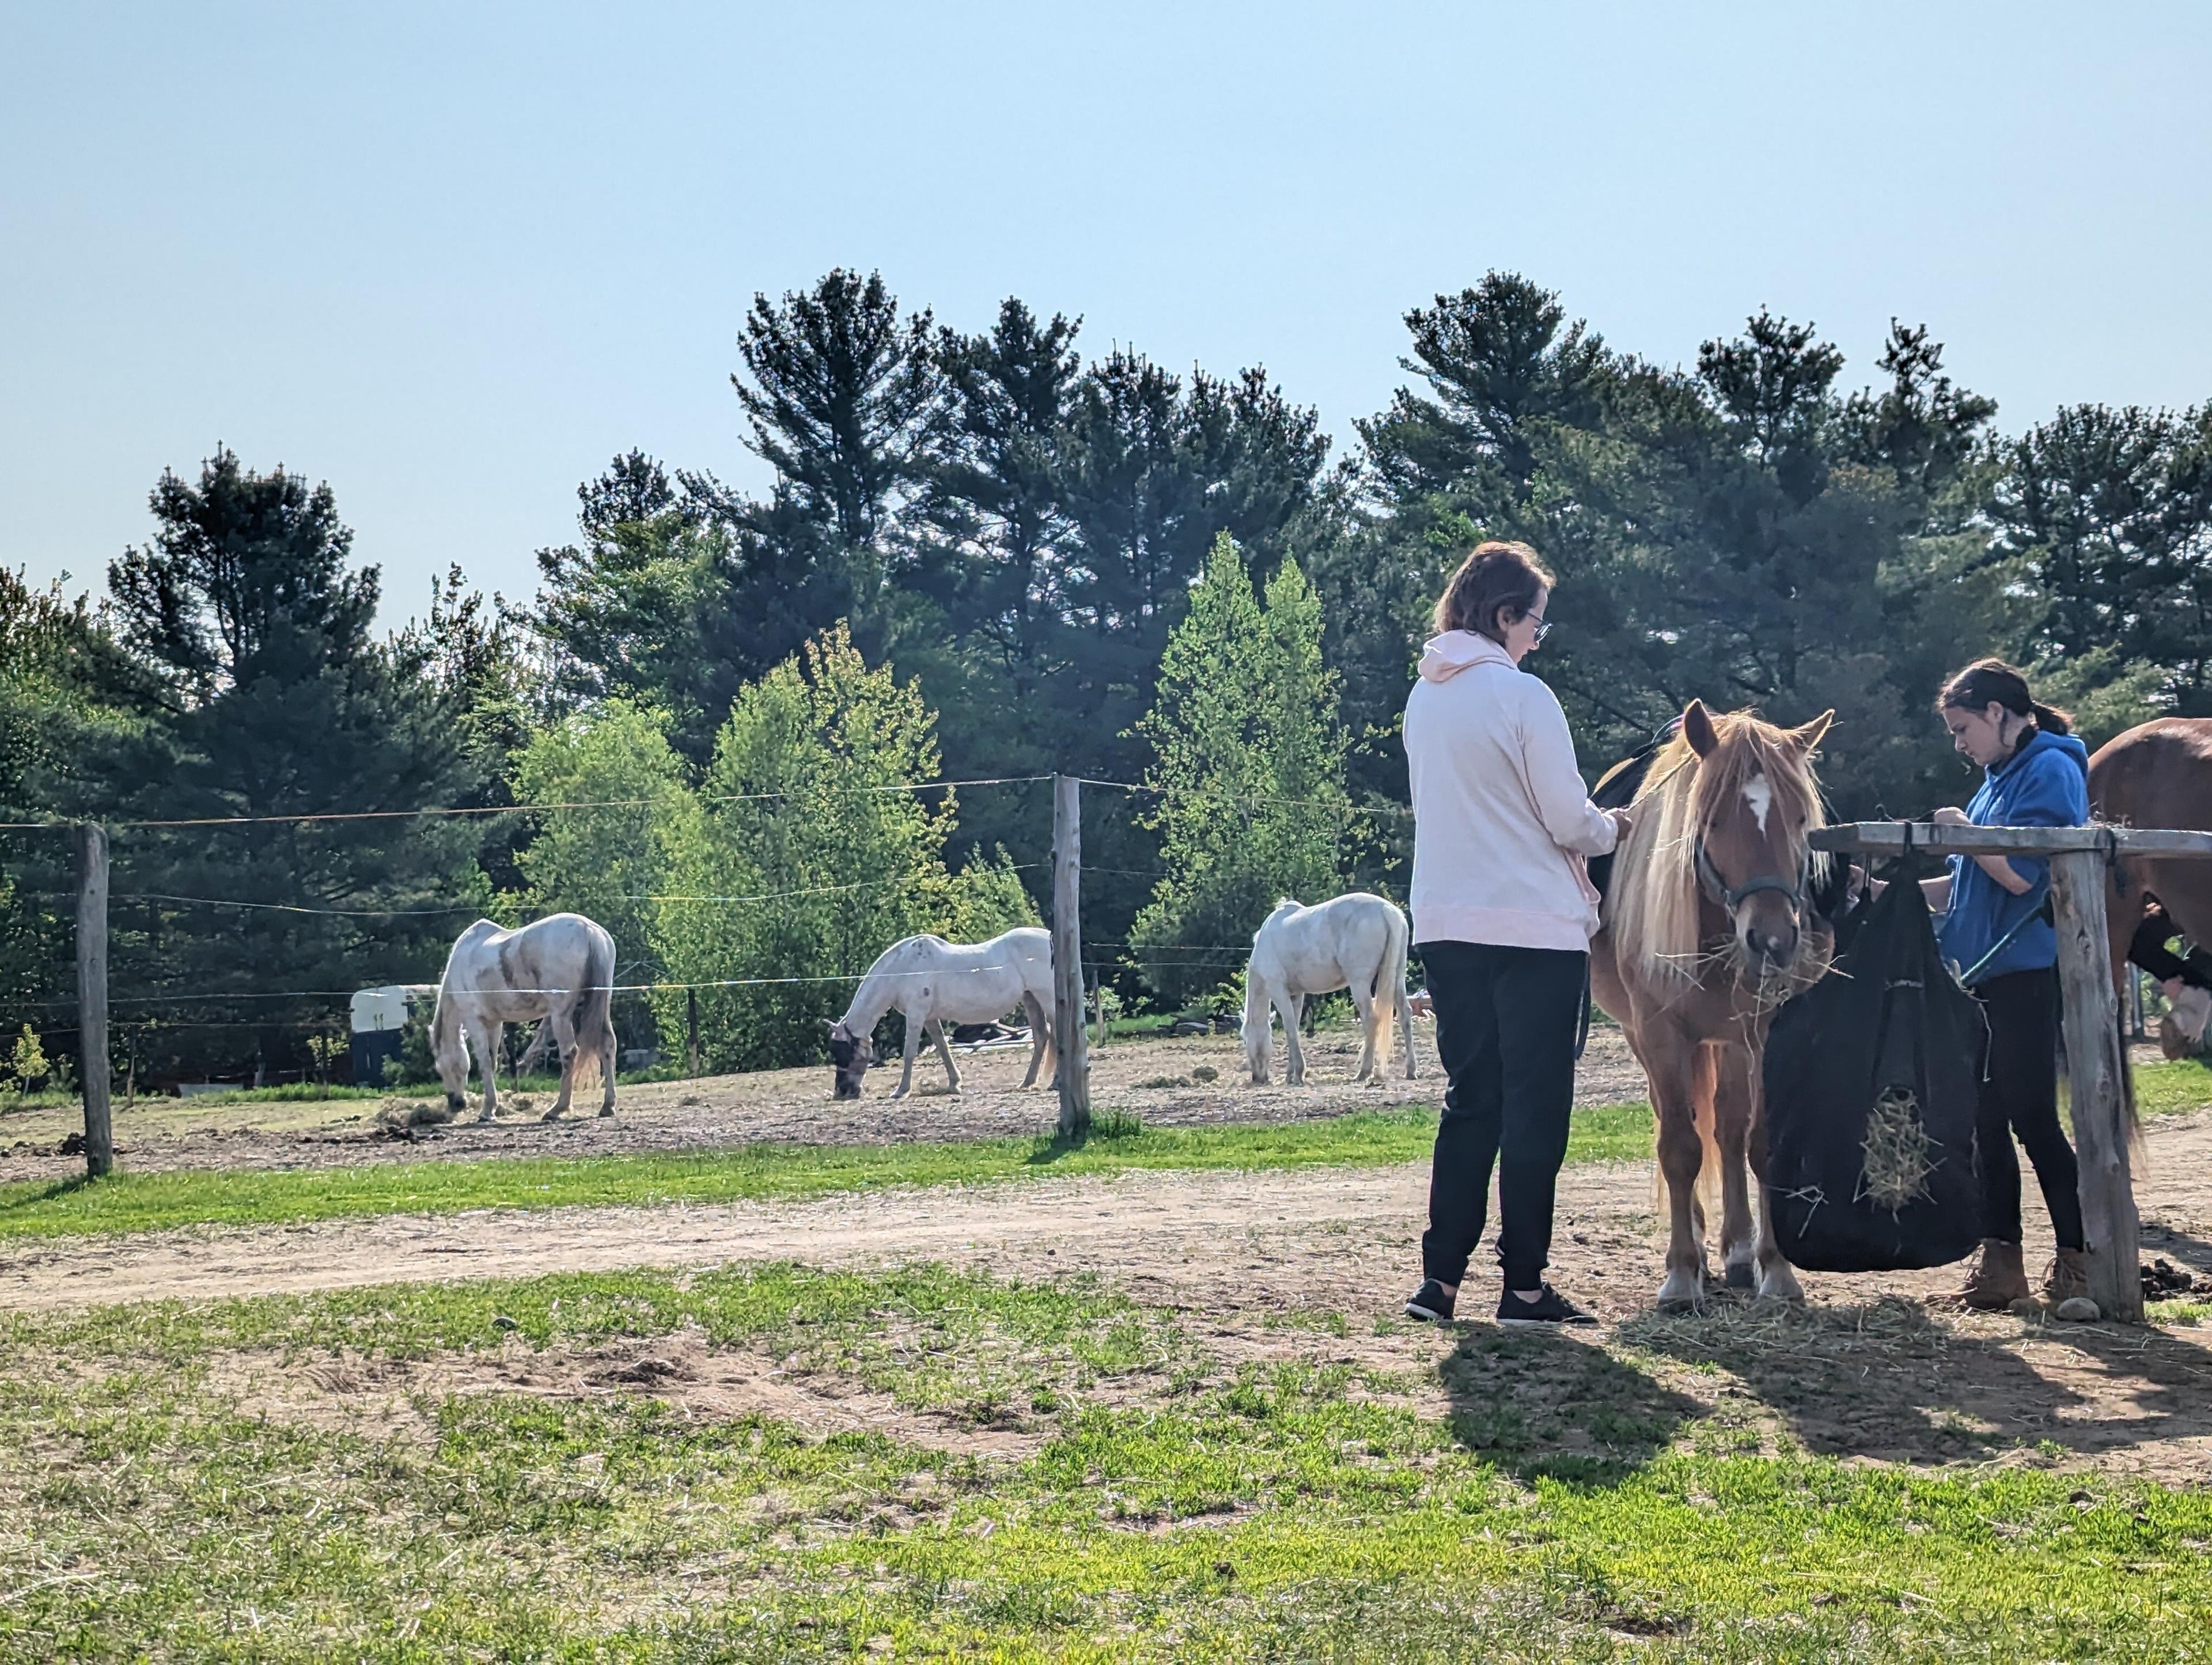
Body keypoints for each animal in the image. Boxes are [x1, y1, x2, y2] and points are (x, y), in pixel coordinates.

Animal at [429, 915, 615, 1123]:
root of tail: (589, 931)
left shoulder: (474, 1021)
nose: (457, 1103)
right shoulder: (494, 1023)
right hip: (601, 1005)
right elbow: (492, 1063)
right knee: (607, 1046)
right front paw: (493, 1108)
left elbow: (484, 1062)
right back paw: (608, 1106)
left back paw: (557, 1109)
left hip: (560, 1015)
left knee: (569, 1053)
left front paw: (487, 1111)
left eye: (441, 1067)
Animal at [827, 928, 1057, 1097]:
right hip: (1030, 998)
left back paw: (1055, 1083)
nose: (842, 1092)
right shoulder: (929, 1018)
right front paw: (955, 1084)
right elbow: (943, 1047)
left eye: (844, 1053)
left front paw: (901, 1090)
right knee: (1041, 1037)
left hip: (1048, 1000)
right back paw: (1027, 1082)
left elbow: (909, 1052)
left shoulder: (916, 1015)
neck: (903, 969)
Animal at [1247, 889, 1415, 1083]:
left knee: (1371, 1019)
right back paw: (1411, 1070)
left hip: (1359, 984)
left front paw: (1298, 1073)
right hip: (1397, 978)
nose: (1257, 1078)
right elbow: (1294, 1029)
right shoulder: (1296, 994)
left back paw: (1364, 1072)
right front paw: (1291, 1075)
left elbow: (1290, 1029)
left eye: (1245, 1040)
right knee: (1405, 1015)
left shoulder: (1278, 991)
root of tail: (1386, 910)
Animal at [1592, 694, 1831, 1309]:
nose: (1773, 940)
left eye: (1800, 819)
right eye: (1713, 819)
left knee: (1728, 1128)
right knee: (1687, 1125)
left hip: (1733, 1042)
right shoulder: (1659, 1032)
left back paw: (1740, 1250)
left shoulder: (1763, 1032)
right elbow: (1679, 1146)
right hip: (1650, 1039)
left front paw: (1776, 1269)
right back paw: (1701, 1248)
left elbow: (1759, 1143)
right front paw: (1681, 1274)